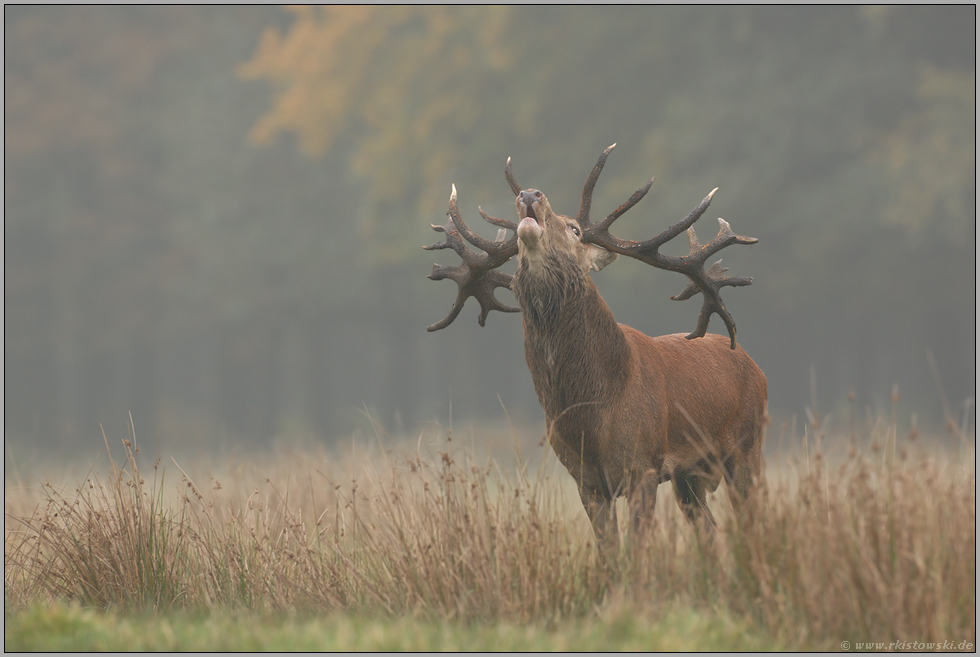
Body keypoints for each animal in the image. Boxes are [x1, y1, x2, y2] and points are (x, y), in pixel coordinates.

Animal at [424, 146, 768, 552]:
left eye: (575, 229)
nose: (530, 194)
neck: (590, 414)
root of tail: (755, 365)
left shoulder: (642, 465)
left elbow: (636, 551)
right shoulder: (584, 480)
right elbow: (609, 554)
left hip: (747, 445)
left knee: (751, 522)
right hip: (691, 475)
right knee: (709, 532)